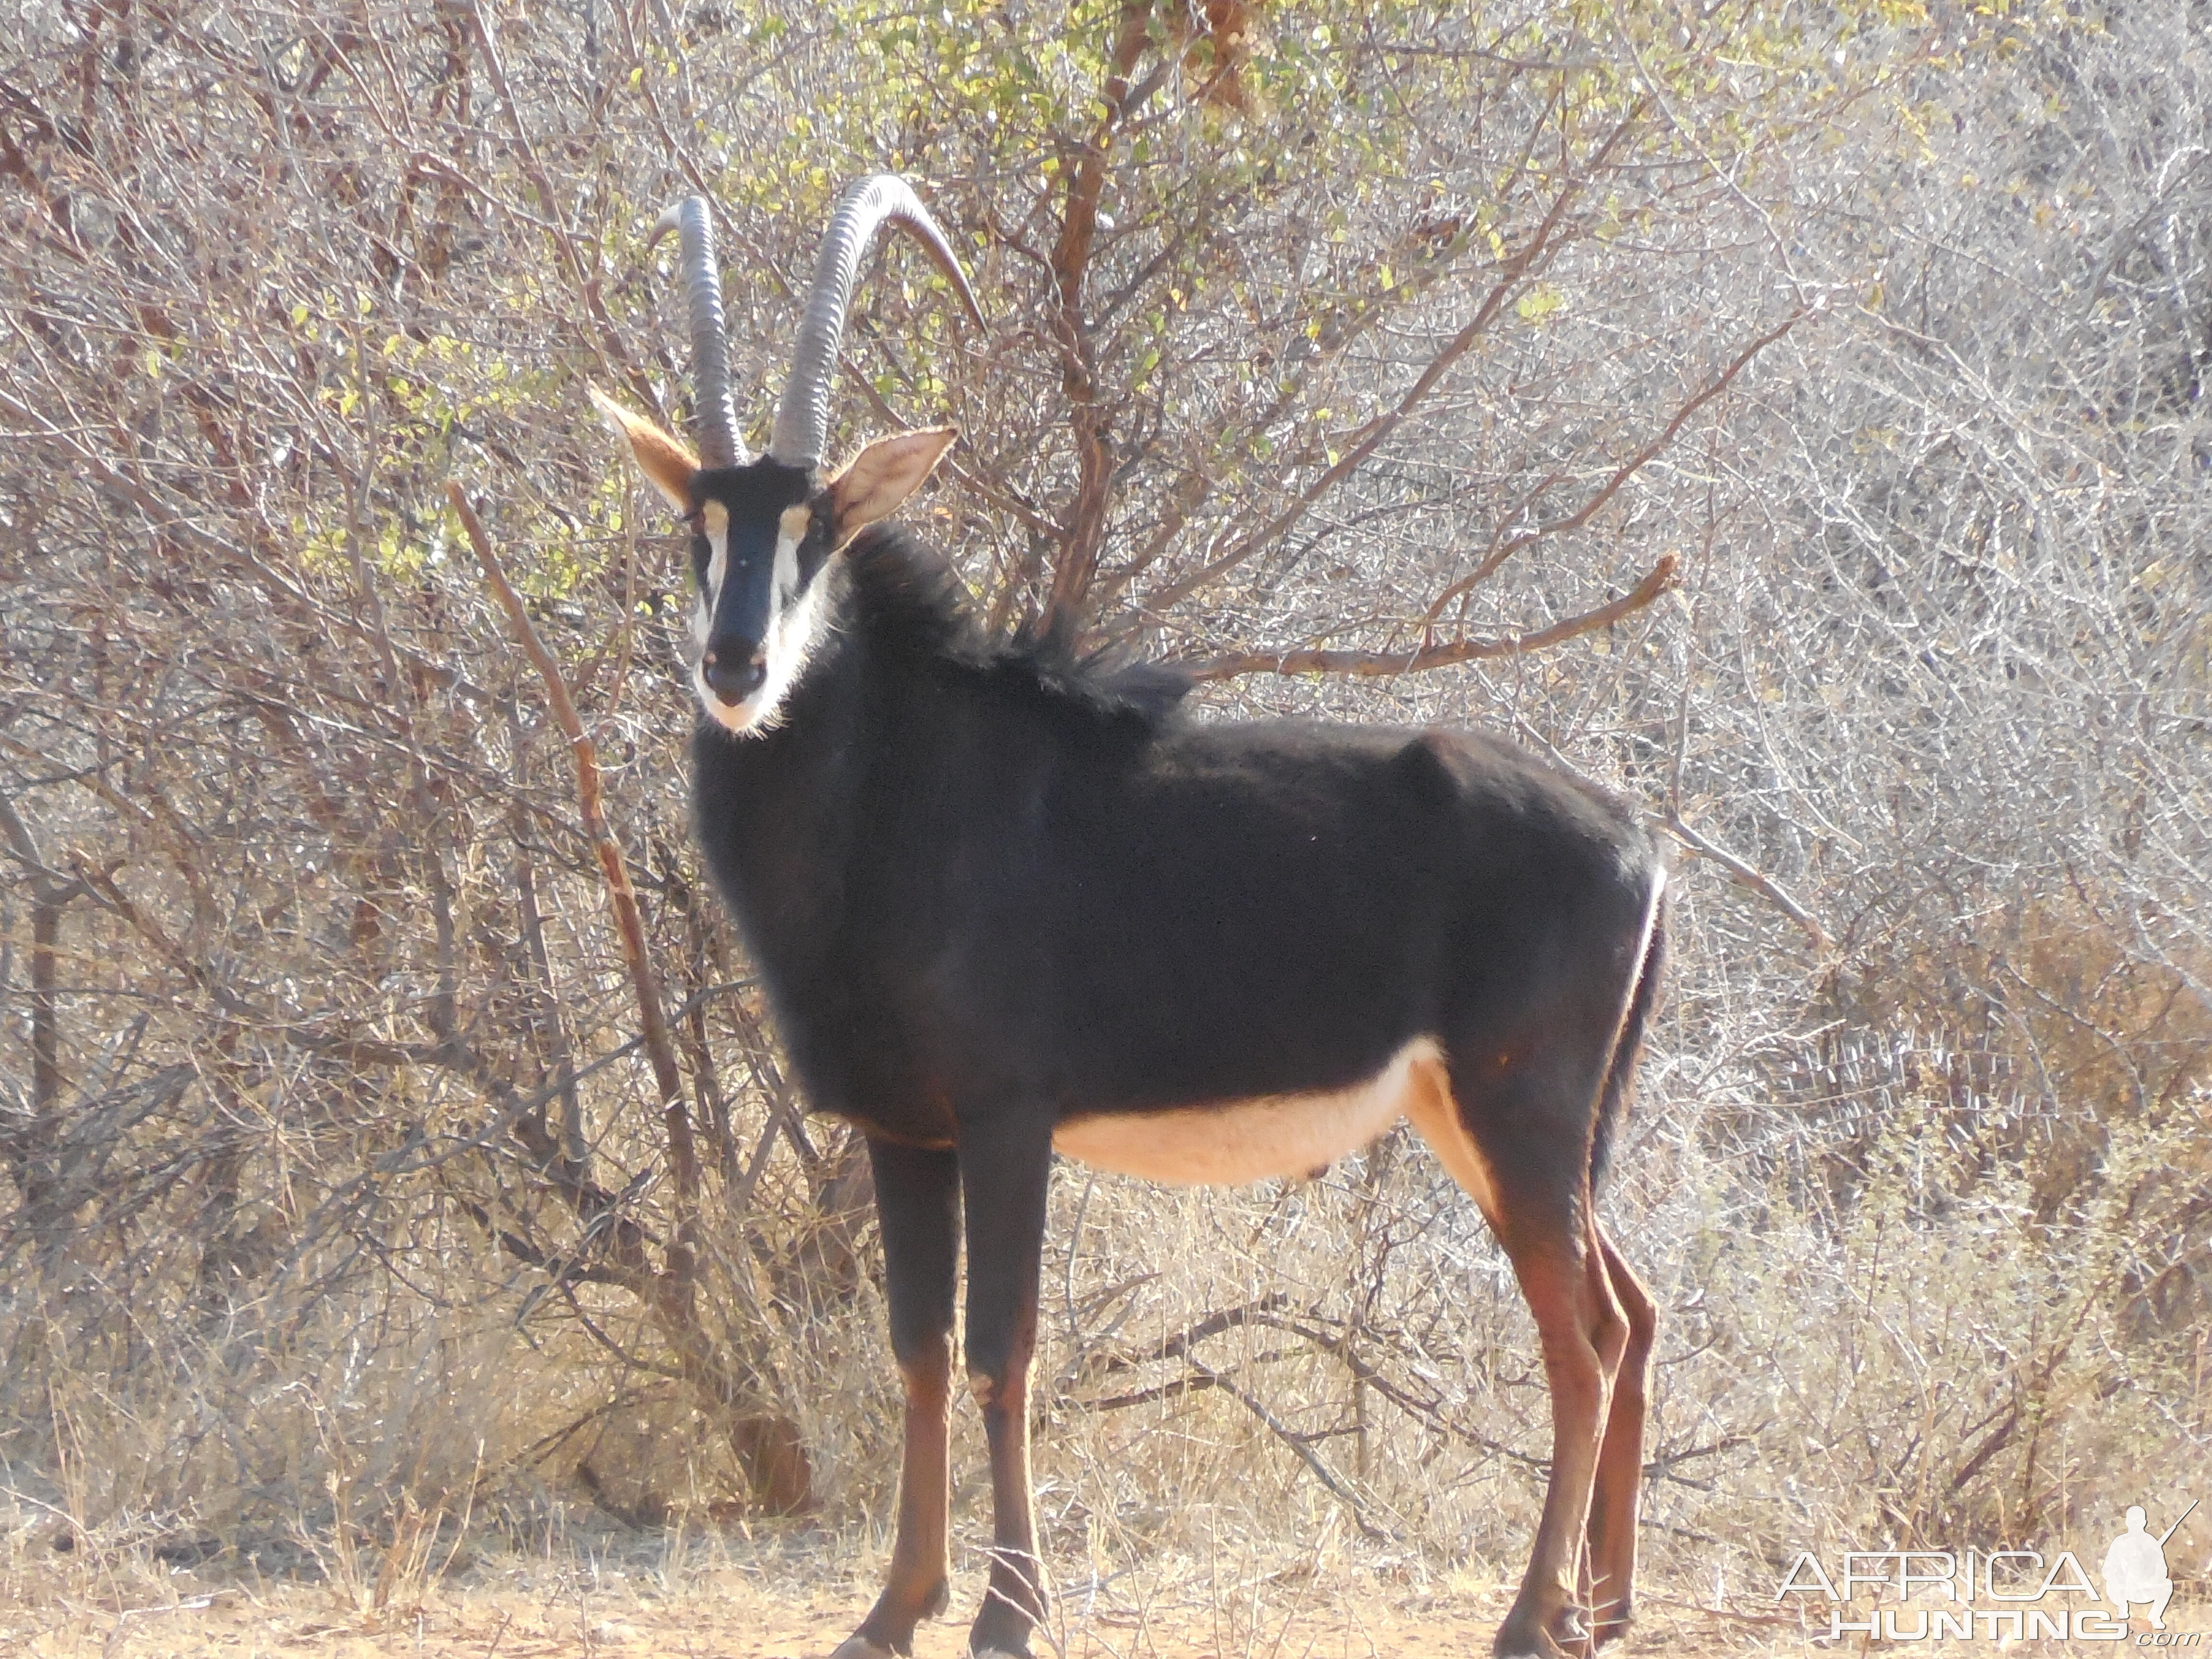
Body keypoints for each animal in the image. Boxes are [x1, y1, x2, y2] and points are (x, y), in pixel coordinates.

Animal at [597, 176, 1663, 1659]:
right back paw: (1600, 1605)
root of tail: (1635, 837)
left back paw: (1530, 1616)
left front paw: (1007, 1612)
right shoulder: (901, 1130)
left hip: (1521, 1116)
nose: (737, 664)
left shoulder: (1006, 1115)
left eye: (823, 530)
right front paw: (893, 1607)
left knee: (1588, 1339)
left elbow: (1004, 1347)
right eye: (699, 527)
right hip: (1491, 1125)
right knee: (1631, 1311)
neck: (896, 786)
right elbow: (918, 1350)